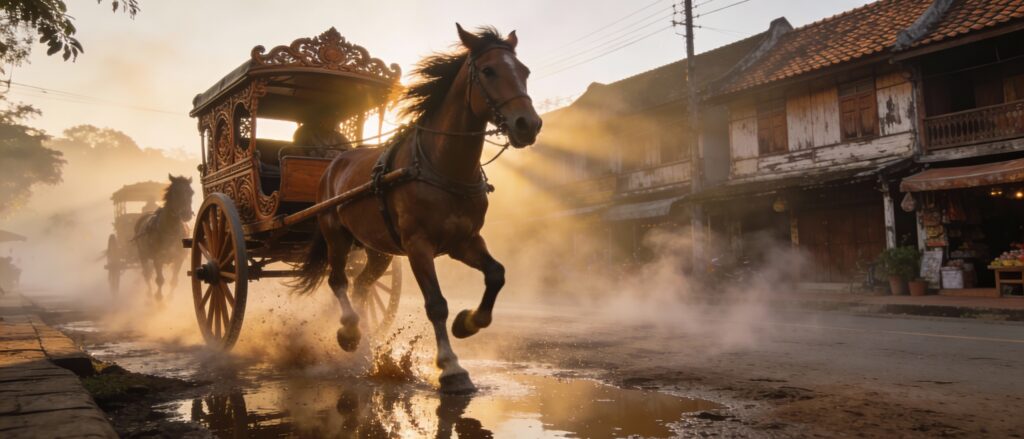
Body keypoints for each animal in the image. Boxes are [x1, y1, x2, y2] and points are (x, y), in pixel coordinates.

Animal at [292, 24, 542, 393]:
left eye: (524, 71)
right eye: (488, 71)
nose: (529, 124)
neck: (442, 166)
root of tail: (335, 162)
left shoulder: (464, 241)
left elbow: (497, 274)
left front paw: (468, 322)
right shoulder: (417, 246)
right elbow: (436, 304)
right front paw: (451, 367)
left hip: (377, 249)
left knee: (362, 284)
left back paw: (364, 340)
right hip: (335, 233)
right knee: (338, 281)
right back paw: (349, 332)